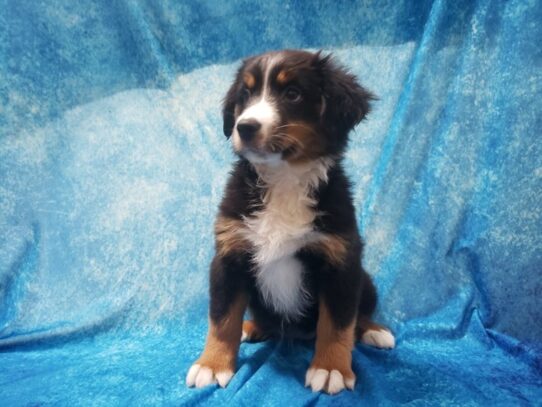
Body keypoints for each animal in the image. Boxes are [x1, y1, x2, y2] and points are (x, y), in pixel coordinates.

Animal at [187, 48, 396, 396]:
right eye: (246, 95)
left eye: (293, 94)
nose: (244, 127)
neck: (283, 180)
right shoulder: (230, 256)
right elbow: (222, 317)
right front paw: (212, 364)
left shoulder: (340, 261)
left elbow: (338, 322)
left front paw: (331, 368)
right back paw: (252, 326)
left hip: (364, 279)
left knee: (360, 313)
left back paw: (374, 331)